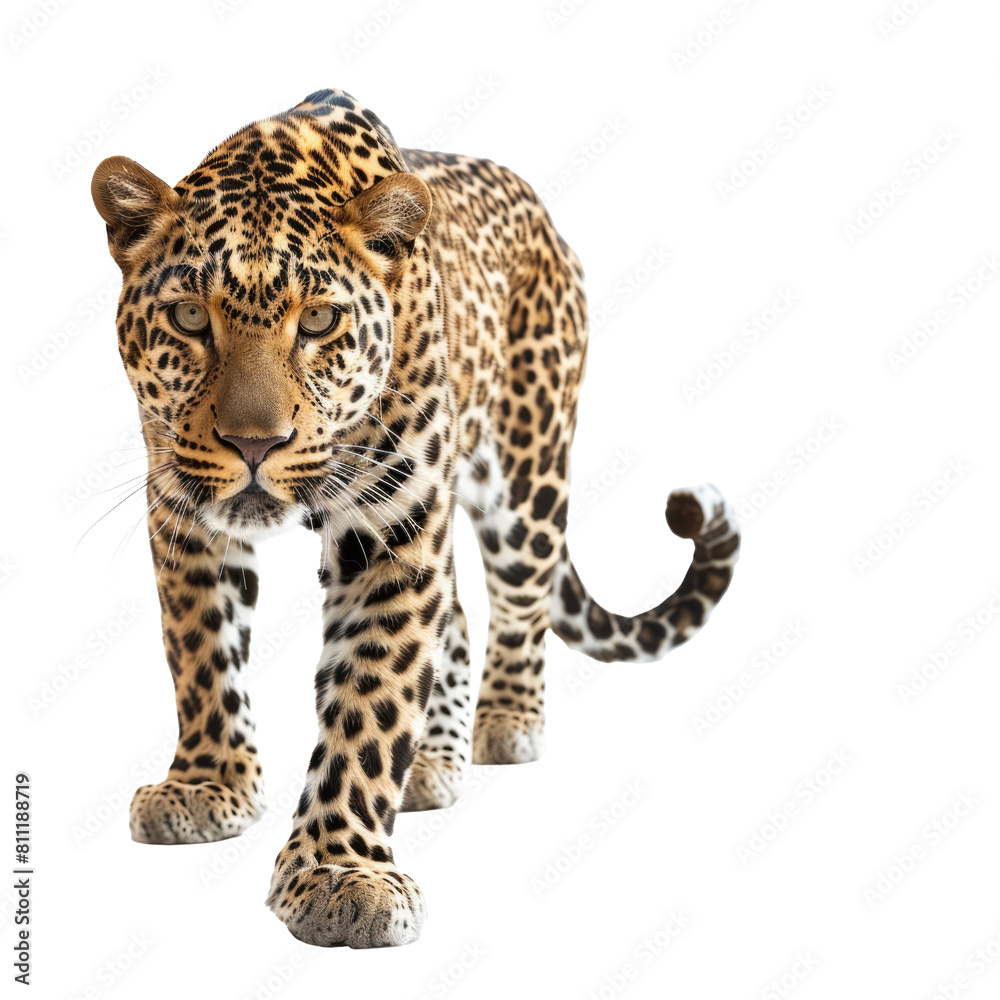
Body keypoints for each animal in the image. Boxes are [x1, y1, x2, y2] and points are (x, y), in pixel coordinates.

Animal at [90, 88, 741, 949]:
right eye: (191, 318)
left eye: (320, 323)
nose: (256, 443)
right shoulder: (184, 510)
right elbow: (200, 655)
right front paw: (206, 785)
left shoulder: (395, 529)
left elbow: (371, 701)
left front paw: (341, 874)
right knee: (457, 615)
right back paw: (434, 761)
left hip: (527, 466)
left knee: (520, 599)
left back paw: (500, 726)